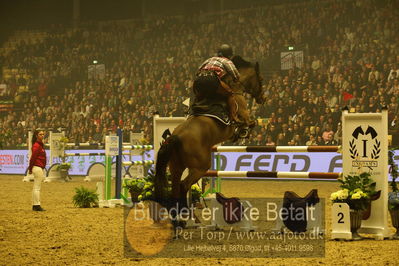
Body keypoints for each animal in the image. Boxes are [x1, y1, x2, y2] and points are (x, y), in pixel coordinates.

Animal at [155, 55, 266, 217]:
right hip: (200, 167)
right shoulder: (244, 113)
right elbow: (250, 123)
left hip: (176, 166)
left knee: (175, 186)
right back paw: (186, 212)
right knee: (184, 185)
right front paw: (242, 132)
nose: (263, 99)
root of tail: (176, 136)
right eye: (261, 79)